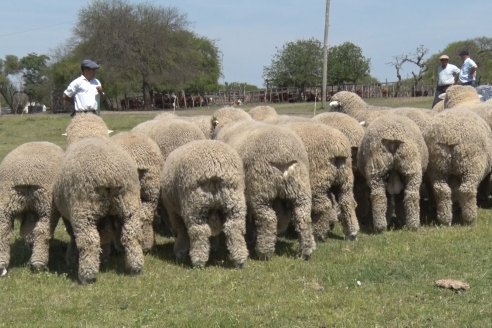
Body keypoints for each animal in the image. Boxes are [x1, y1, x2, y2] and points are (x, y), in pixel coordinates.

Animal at [0, 142, 64, 276]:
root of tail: (26, 175)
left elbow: (28, 232)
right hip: (47, 207)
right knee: (42, 231)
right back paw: (38, 264)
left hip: (5, 201)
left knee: (3, 231)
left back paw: (2, 266)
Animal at [160, 140, 248, 268]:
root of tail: (215, 166)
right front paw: (214, 247)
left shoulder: (174, 213)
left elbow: (182, 231)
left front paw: (180, 252)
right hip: (234, 202)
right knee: (234, 228)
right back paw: (240, 260)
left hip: (195, 204)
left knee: (199, 231)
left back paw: (198, 261)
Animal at [209, 106, 314, 260]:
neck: (230, 123)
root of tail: (284, 155)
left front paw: (250, 235)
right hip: (300, 187)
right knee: (303, 217)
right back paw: (305, 252)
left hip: (260, 189)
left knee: (268, 220)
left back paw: (263, 252)